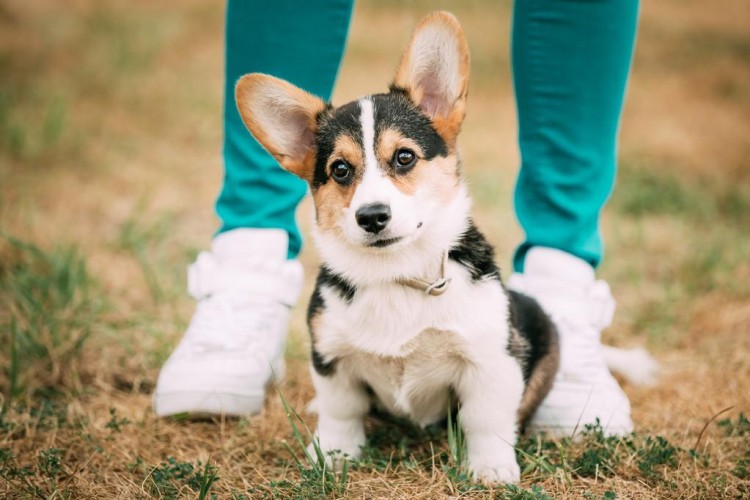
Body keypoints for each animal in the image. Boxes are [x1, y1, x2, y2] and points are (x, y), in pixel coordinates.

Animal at [238, 10, 560, 480]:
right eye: (339, 169)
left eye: (404, 157)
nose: (372, 216)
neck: (397, 273)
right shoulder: (331, 355)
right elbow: (341, 410)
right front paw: (333, 454)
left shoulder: (489, 360)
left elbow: (485, 418)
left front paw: (492, 469)